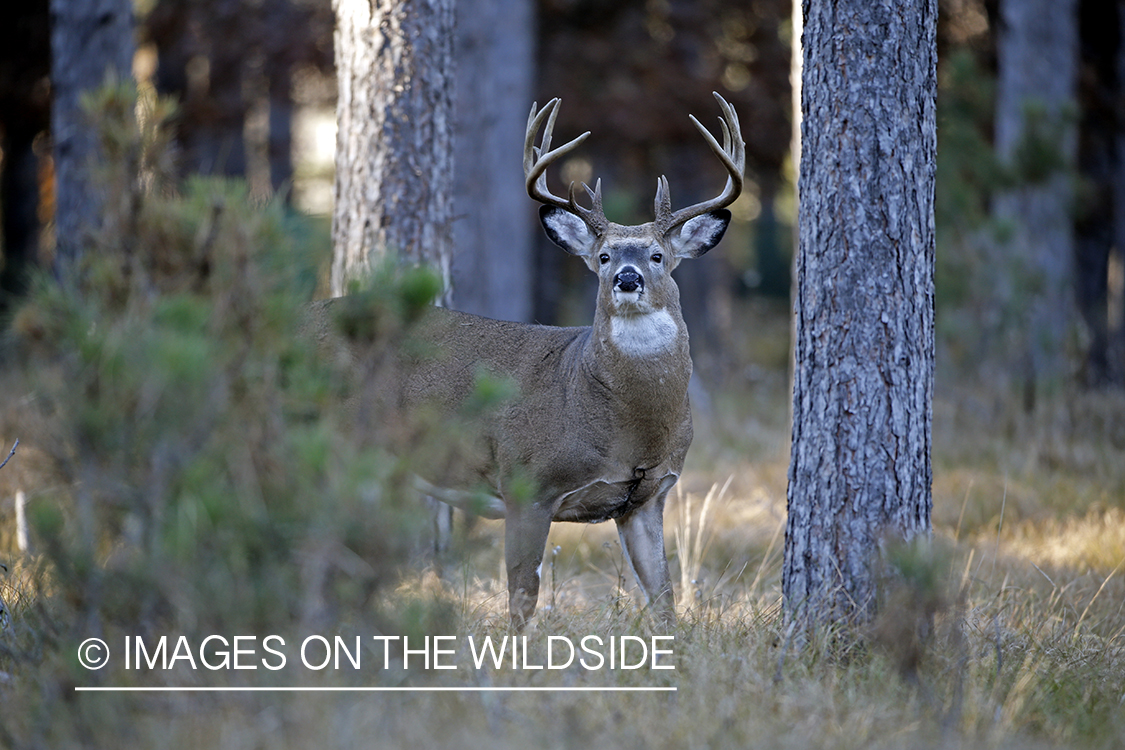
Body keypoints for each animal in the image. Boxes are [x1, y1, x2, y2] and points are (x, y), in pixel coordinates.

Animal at [312, 93, 742, 629]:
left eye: (658, 255)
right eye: (602, 256)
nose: (627, 278)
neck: (626, 423)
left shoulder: (648, 498)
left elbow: (664, 599)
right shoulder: (526, 483)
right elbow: (522, 598)